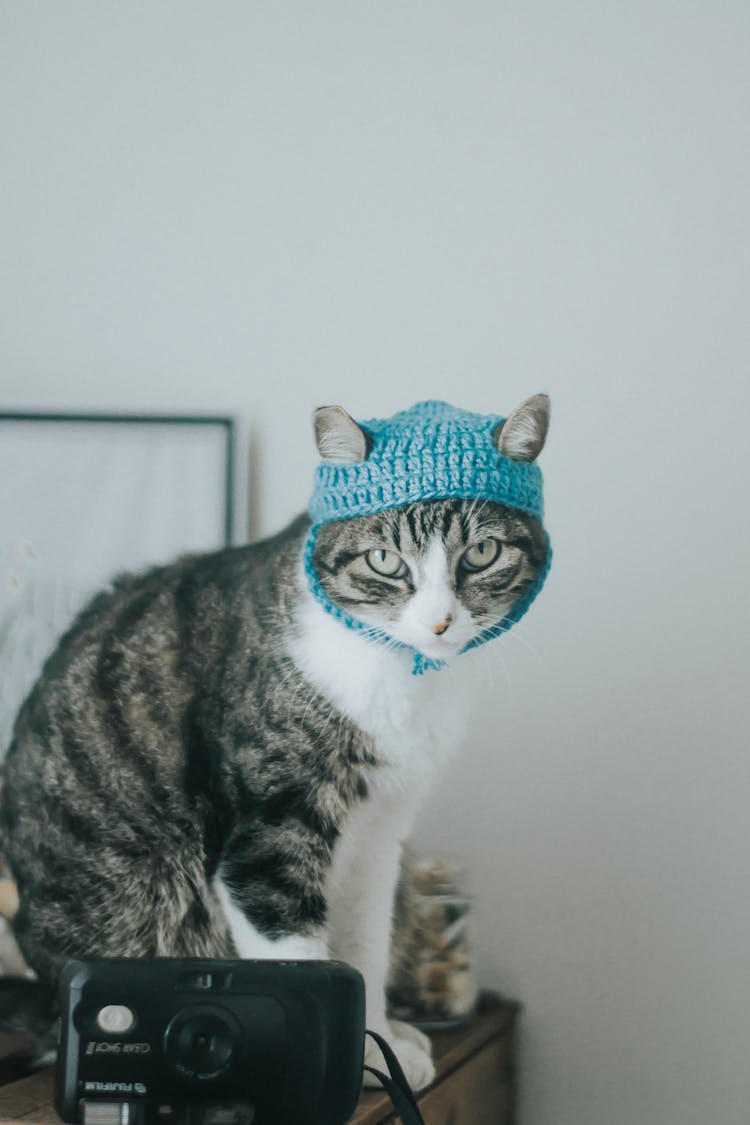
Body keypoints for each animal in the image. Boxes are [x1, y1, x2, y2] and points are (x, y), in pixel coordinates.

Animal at [0, 398, 550, 1089]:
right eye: (384, 560)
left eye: (481, 552)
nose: (440, 622)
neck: (397, 674)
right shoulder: (272, 827)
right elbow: (295, 951)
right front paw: (347, 1061)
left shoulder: (381, 829)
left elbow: (364, 943)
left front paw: (378, 1043)